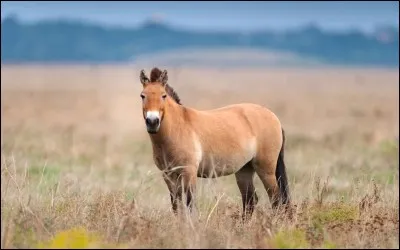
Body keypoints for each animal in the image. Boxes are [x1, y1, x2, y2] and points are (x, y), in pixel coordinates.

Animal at [139, 66, 290, 219]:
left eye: (163, 95)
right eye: (143, 96)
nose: (152, 122)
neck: (178, 129)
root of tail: (274, 117)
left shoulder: (189, 172)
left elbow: (189, 203)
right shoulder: (168, 175)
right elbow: (176, 205)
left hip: (266, 169)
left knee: (276, 199)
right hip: (244, 169)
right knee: (250, 199)